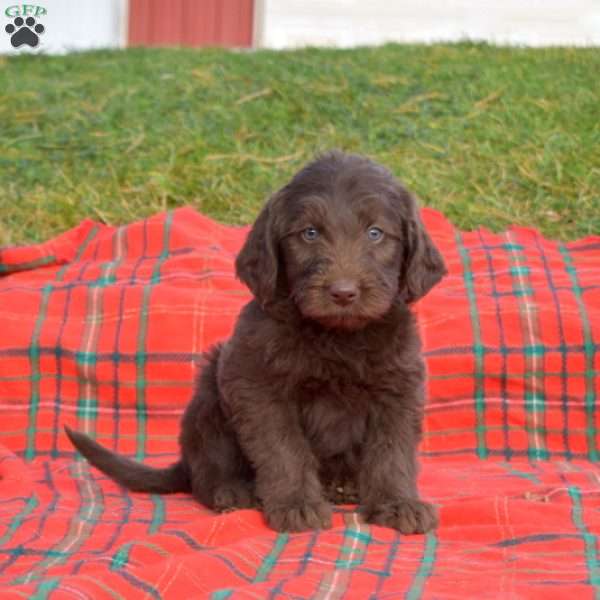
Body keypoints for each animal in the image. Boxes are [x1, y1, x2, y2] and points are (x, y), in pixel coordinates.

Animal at [65, 151, 446, 536]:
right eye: (309, 233)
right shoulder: (257, 386)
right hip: (210, 392)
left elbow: (392, 451)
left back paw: (343, 486)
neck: (337, 336)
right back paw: (231, 490)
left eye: (375, 233)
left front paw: (397, 503)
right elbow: (283, 449)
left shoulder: (399, 387)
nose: (343, 292)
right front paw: (296, 504)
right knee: (205, 471)